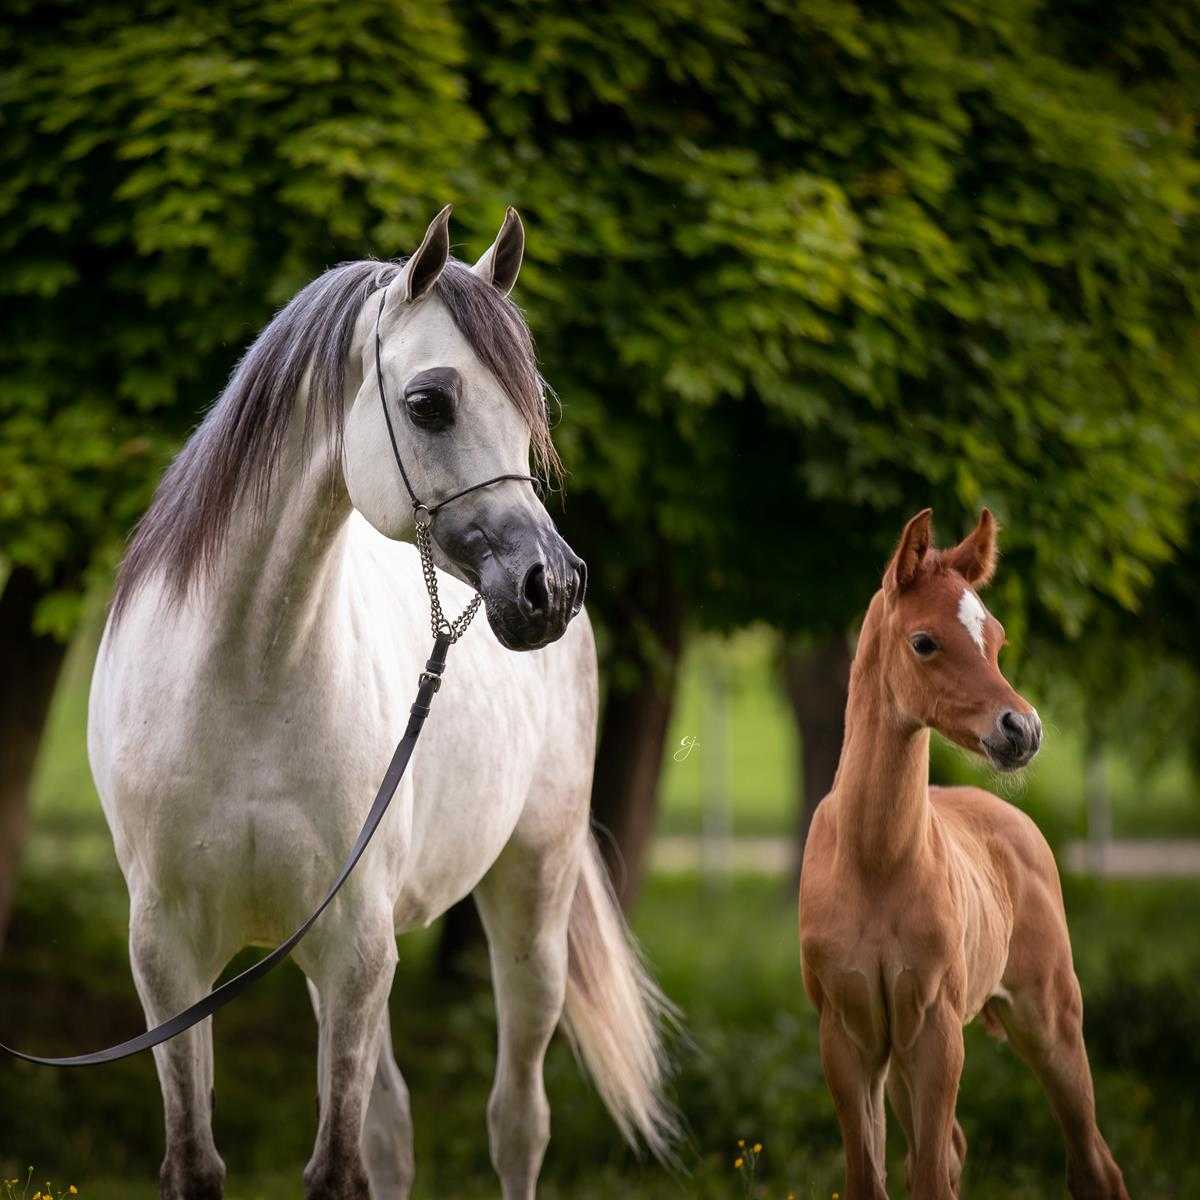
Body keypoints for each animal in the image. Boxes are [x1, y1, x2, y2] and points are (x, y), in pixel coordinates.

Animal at [89, 206, 676, 1200]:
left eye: (531, 407)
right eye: (430, 402)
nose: (551, 587)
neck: (242, 683)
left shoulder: (355, 948)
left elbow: (338, 1168)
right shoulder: (170, 957)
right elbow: (200, 1160)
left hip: (531, 901)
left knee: (517, 1121)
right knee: (397, 1127)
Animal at [799, 509, 1127, 1200]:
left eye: (997, 639)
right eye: (925, 642)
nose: (1023, 730)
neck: (873, 863)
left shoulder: (937, 1031)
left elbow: (927, 1180)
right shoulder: (847, 1035)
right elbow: (871, 1178)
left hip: (1051, 1018)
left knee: (1093, 1164)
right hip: (898, 1063)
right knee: (952, 1149)